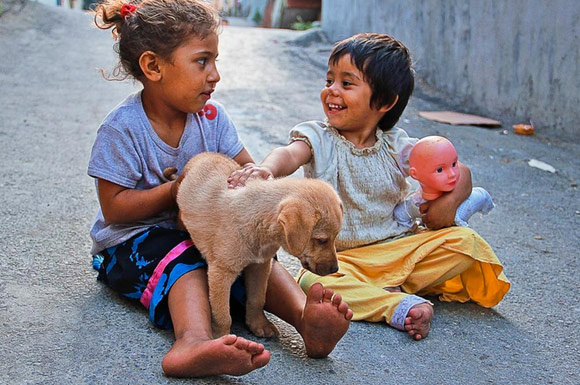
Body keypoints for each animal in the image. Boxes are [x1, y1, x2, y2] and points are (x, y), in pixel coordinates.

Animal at [174, 152, 342, 338]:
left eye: (334, 237)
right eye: (321, 240)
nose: (335, 269)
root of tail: (203, 155)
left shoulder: (260, 266)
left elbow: (257, 299)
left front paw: (259, 323)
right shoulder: (221, 272)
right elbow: (222, 314)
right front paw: (222, 337)